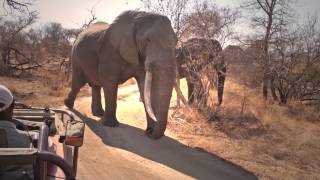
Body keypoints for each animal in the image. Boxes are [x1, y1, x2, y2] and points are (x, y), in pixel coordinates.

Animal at [63, 10, 176, 139]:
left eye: (176, 41)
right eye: (147, 40)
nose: (149, 132)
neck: (138, 17)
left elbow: (144, 87)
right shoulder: (110, 50)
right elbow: (110, 82)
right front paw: (111, 125)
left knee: (95, 86)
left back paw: (98, 113)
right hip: (76, 58)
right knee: (78, 84)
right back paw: (68, 105)